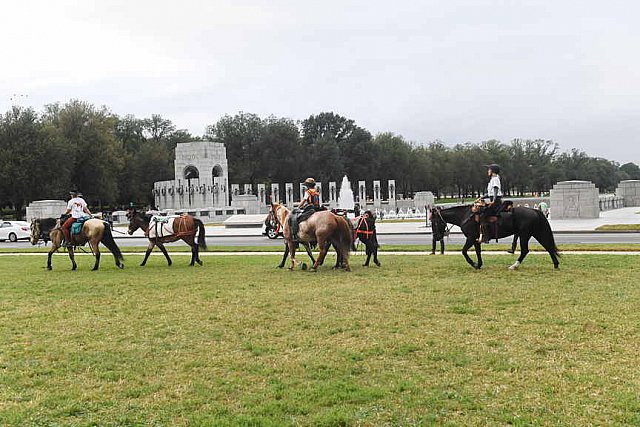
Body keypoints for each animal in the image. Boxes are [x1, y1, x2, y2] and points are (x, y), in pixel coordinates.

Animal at [430, 205, 560, 270]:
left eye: (434, 222)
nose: (436, 237)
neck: (465, 216)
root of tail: (535, 210)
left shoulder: (470, 238)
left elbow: (464, 251)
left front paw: (473, 263)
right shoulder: (476, 239)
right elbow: (478, 252)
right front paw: (479, 265)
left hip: (525, 235)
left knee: (525, 251)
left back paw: (514, 266)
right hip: (535, 233)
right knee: (548, 247)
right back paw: (556, 264)